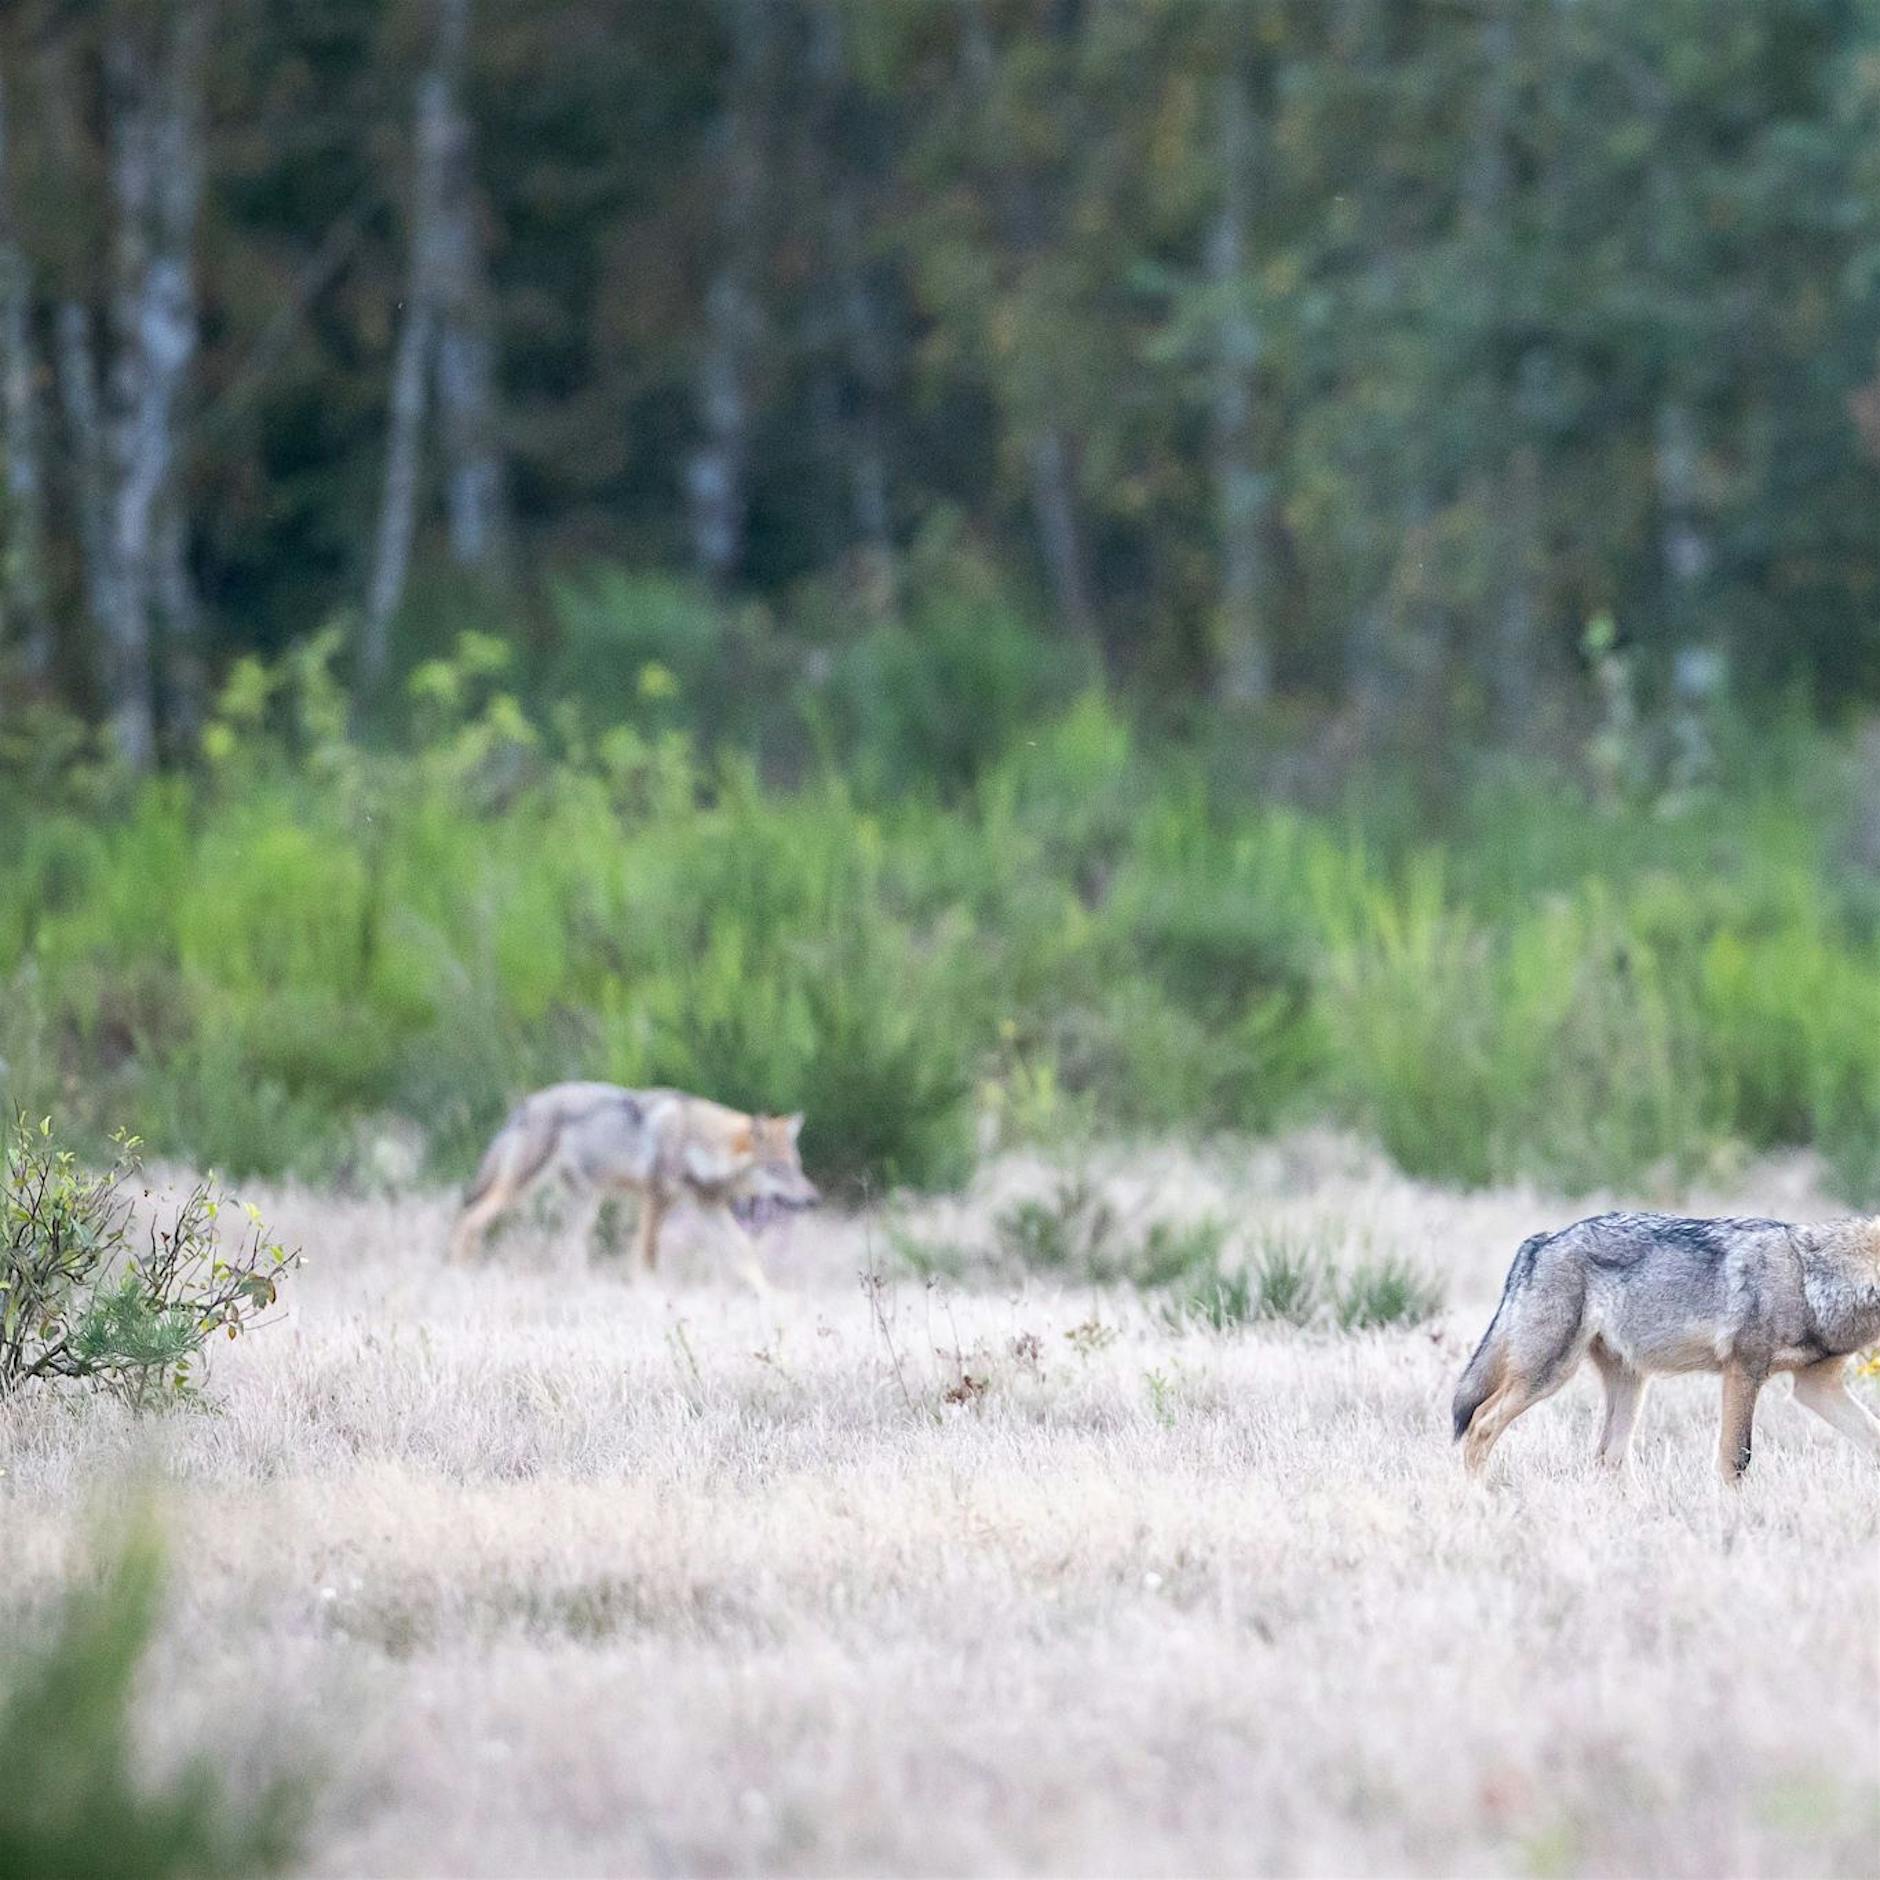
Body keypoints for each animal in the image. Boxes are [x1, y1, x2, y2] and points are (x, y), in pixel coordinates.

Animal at [447, 1083, 818, 1287]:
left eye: (797, 1168)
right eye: (778, 1170)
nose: (815, 1200)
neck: (694, 1141)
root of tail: (527, 1105)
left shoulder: (708, 1207)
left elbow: (745, 1255)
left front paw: (775, 1302)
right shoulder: (656, 1200)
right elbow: (648, 1256)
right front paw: (650, 1296)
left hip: (585, 1206)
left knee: (568, 1252)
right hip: (518, 1191)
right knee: (469, 1220)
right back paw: (461, 1274)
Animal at [1453, 1210, 1880, 1481]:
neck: (1810, 1278)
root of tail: (1539, 1242)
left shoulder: (1816, 1386)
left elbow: (1873, 1436)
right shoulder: (1743, 1372)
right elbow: (1736, 1458)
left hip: (1630, 1386)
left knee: (1608, 1456)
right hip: (1548, 1375)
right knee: (1480, 1424)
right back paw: (1480, 1499)